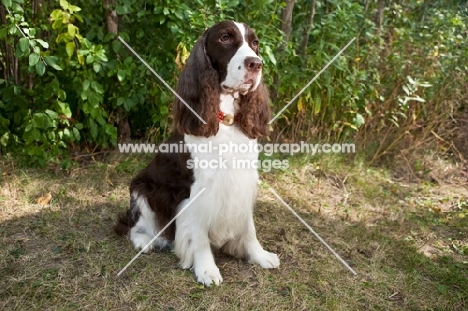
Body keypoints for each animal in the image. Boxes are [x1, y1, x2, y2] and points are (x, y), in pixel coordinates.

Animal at [115, 20, 280, 286]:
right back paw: (147, 242)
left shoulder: (243, 181)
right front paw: (206, 270)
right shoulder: (197, 191)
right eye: (225, 38)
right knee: (130, 226)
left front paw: (259, 255)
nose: (256, 63)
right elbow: (199, 236)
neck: (225, 121)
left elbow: (248, 226)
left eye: (254, 43)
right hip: (143, 190)